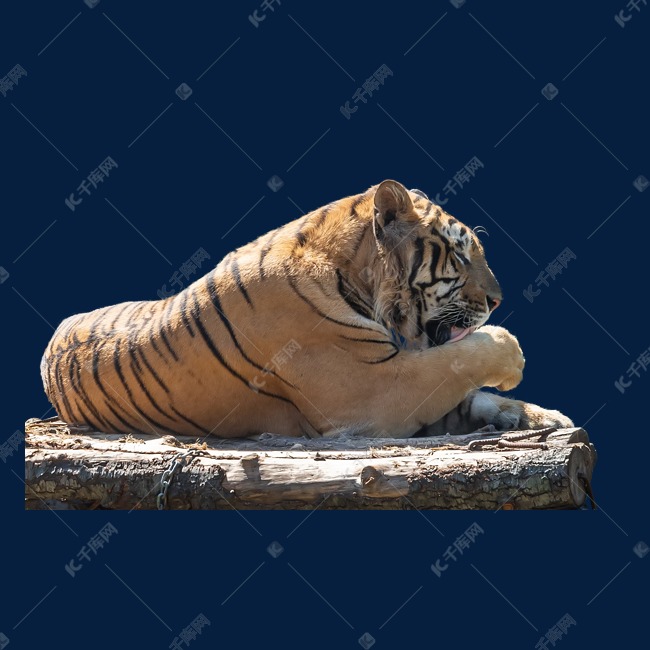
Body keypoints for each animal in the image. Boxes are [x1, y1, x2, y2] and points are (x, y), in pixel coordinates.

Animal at [40, 180, 573, 439]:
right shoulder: (371, 389)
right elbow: (463, 358)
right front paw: (512, 359)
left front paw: (540, 417)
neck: (353, 269)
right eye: (461, 257)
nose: (498, 299)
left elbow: (468, 393)